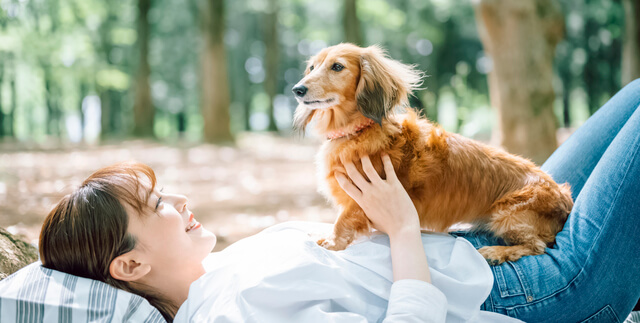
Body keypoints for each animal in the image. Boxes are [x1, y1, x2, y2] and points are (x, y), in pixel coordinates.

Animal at [292, 43, 572, 266]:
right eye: (312, 67)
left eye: (337, 67)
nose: (297, 90)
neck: (358, 130)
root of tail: (564, 196)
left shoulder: (360, 198)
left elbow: (342, 221)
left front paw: (330, 244)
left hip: (508, 216)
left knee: (537, 247)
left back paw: (496, 252)